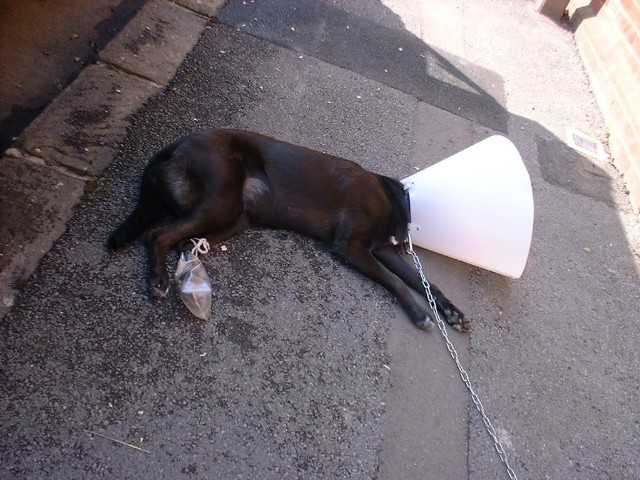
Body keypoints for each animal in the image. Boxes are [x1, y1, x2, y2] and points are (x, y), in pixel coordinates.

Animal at [108, 129, 469, 332]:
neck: (397, 198)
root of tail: (175, 146)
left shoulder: (382, 249)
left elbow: (425, 283)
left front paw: (451, 311)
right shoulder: (350, 246)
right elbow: (397, 282)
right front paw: (420, 314)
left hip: (238, 216)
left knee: (182, 241)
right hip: (220, 202)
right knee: (158, 235)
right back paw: (158, 281)